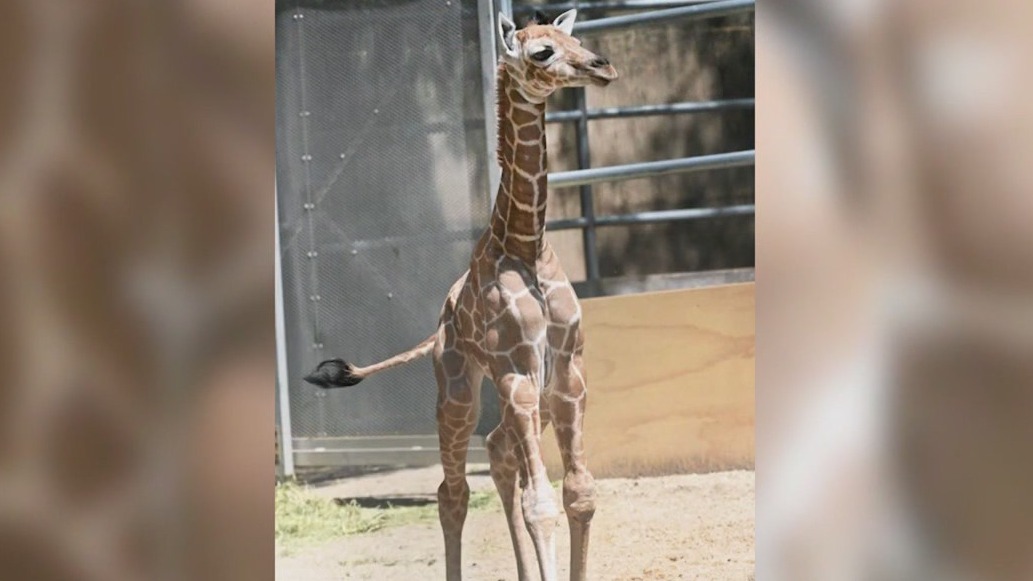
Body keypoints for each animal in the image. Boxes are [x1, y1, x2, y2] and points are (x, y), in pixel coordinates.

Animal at [303, 9, 617, 581]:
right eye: (541, 52)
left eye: (575, 40)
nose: (602, 67)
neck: (526, 242)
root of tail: (438, 329)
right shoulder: (517, 370)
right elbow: (541, 503)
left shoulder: (567, 370)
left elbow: (580, 493)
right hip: (458, 390)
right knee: (452, 490)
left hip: (529, 395)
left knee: (497, 453)